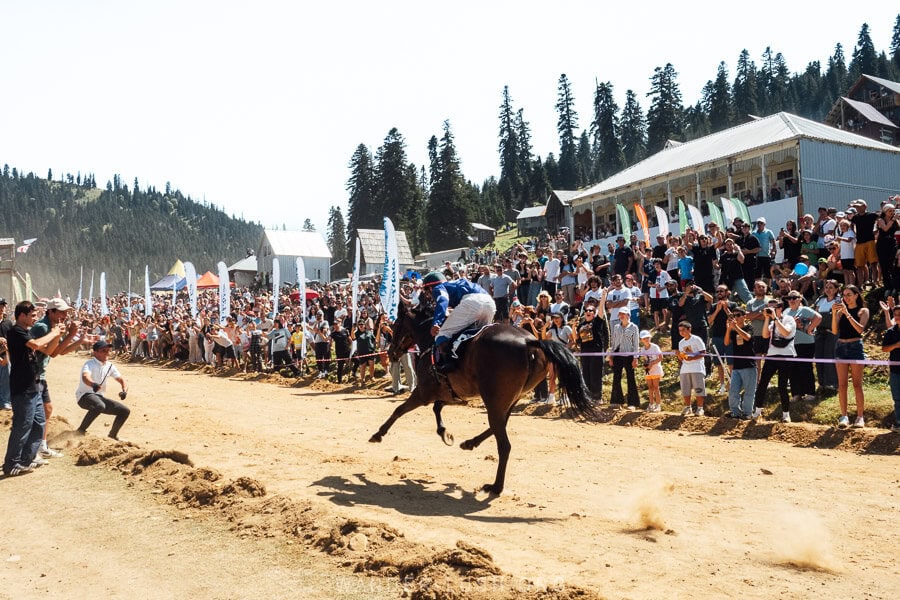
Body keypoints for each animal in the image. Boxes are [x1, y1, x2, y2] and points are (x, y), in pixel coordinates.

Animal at [370, 298, 596, 494]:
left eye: (395, 325)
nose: (390, 352)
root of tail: (531, 342)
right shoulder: (452, 394)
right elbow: (437, 407)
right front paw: (445, 433)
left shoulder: (423, 392)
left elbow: (399, 410)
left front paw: (378, 434)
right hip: (506, 400)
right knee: (498, 425)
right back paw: (470, 443)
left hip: (494, 399)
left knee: (504, 444)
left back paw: (496, 486)